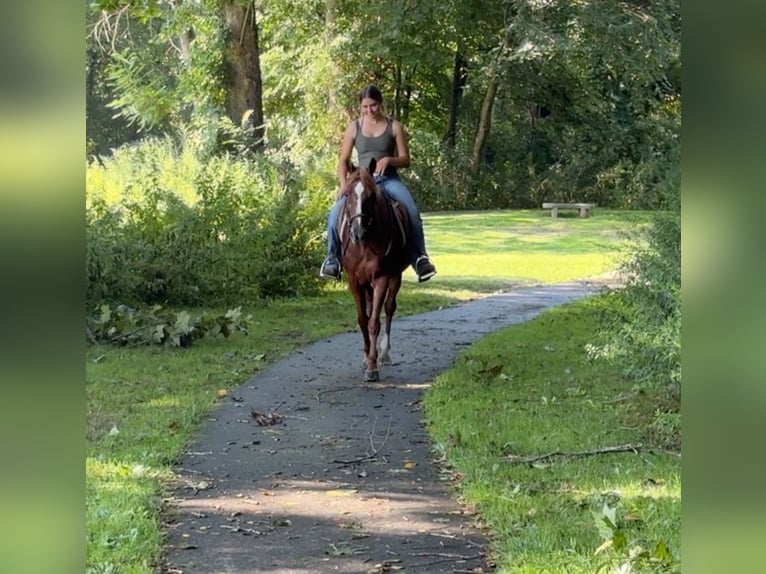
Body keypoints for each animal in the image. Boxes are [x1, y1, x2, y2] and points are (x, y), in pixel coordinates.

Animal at [340, 160, 412, 382]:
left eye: (371, 195)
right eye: (347, 194)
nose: (358, 233)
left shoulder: (382, 278)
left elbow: (374, 322)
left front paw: (372, 365)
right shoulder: (354, 280)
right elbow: (363, 319)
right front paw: (366, 357)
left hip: (395, 276)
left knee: (388, 308)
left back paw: (384, 354)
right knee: (373, 308)